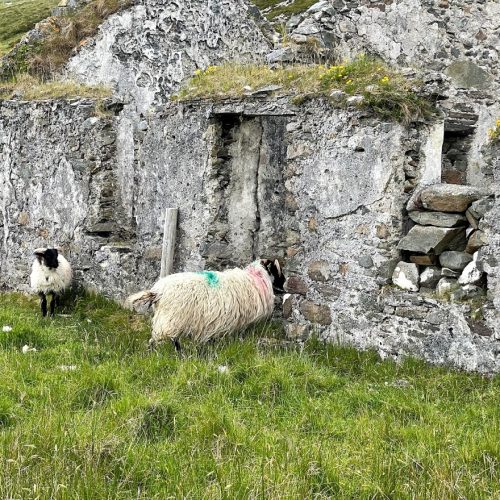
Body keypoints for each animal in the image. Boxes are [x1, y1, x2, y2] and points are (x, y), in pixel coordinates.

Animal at [128, 258, 286, 352]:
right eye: (277, 270)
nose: (285, 283)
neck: (255, 278)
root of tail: (157, 291)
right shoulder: (244, 320)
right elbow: (240, 335)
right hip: (172, 318)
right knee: (159, 339)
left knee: (171, 338)